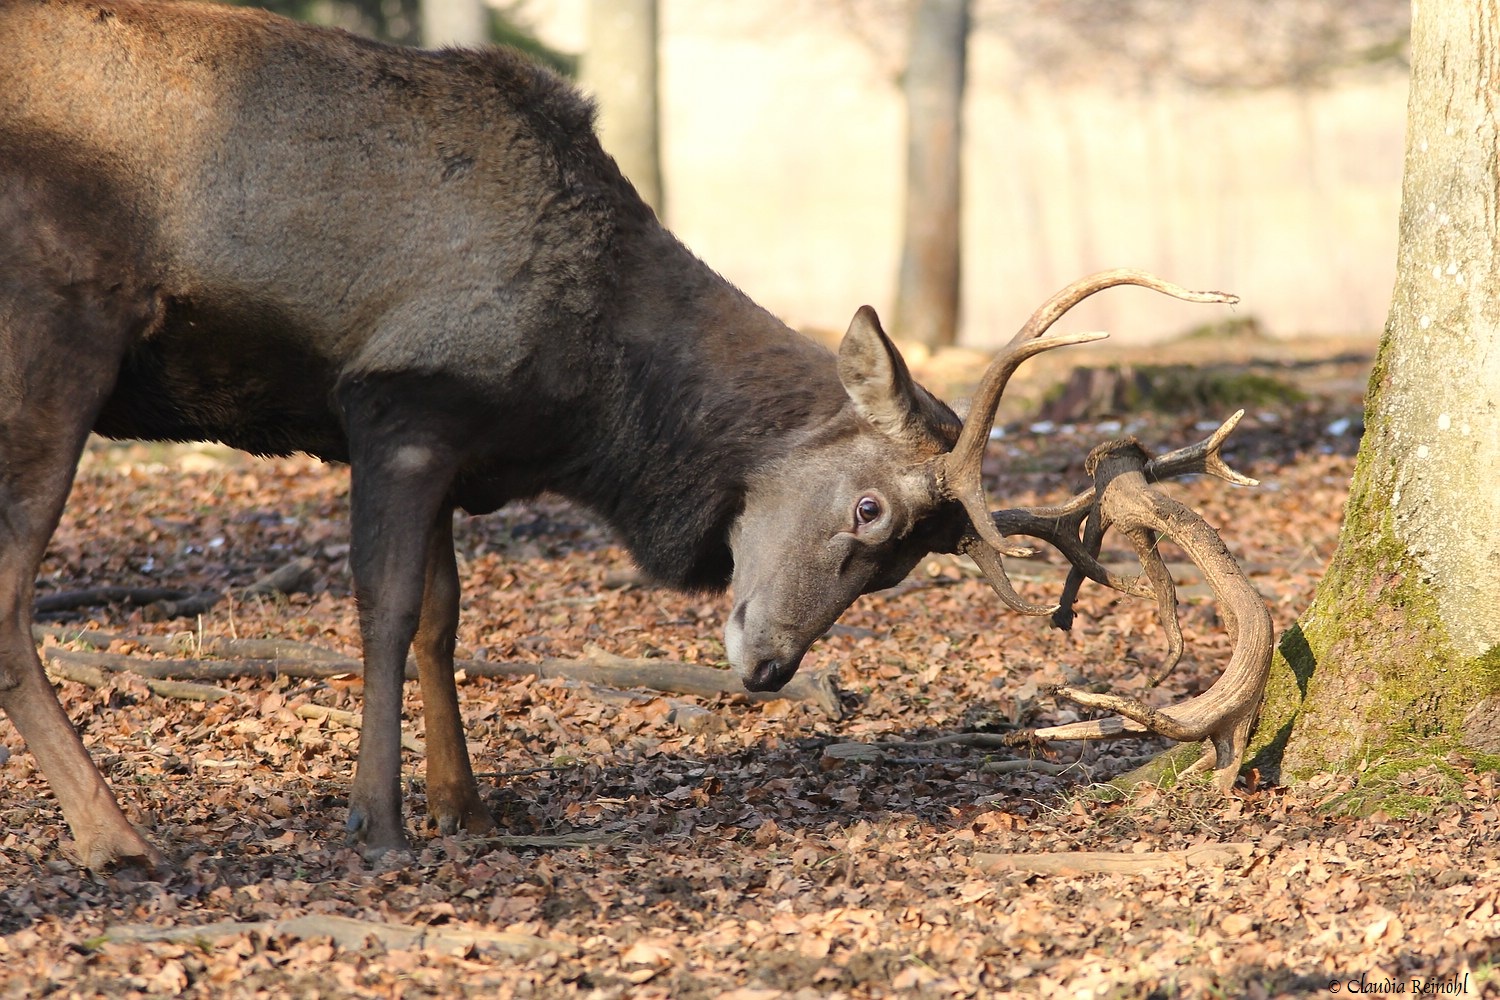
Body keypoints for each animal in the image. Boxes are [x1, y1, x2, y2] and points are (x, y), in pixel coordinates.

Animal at [0, 0, 1274, 873]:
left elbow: (447, 621)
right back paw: (117, 834)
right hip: (53, 333)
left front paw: (468, 806)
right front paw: (380, 818)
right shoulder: (400, 403)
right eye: (871, 508)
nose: (770, 666)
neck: (591, 410)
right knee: (10, 592)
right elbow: (389, 611)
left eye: (904, 564)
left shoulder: (459, 452)